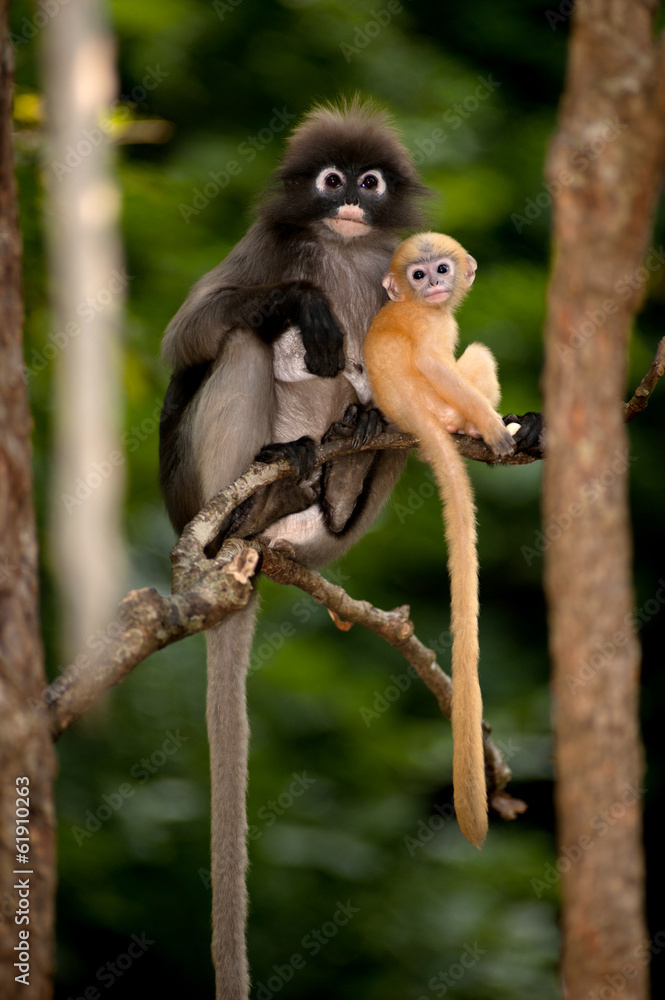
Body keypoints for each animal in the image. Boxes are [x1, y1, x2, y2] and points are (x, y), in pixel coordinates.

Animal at [159, 99, 429, 999]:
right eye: (330, 179)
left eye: (369, 183)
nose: (346, 199)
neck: (341, 252)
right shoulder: (263, 249)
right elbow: (187, 340)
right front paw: (302, 303)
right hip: (198, 487)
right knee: (240, 342)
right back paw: (269, 475)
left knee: (396, 411)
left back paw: (340, 476)